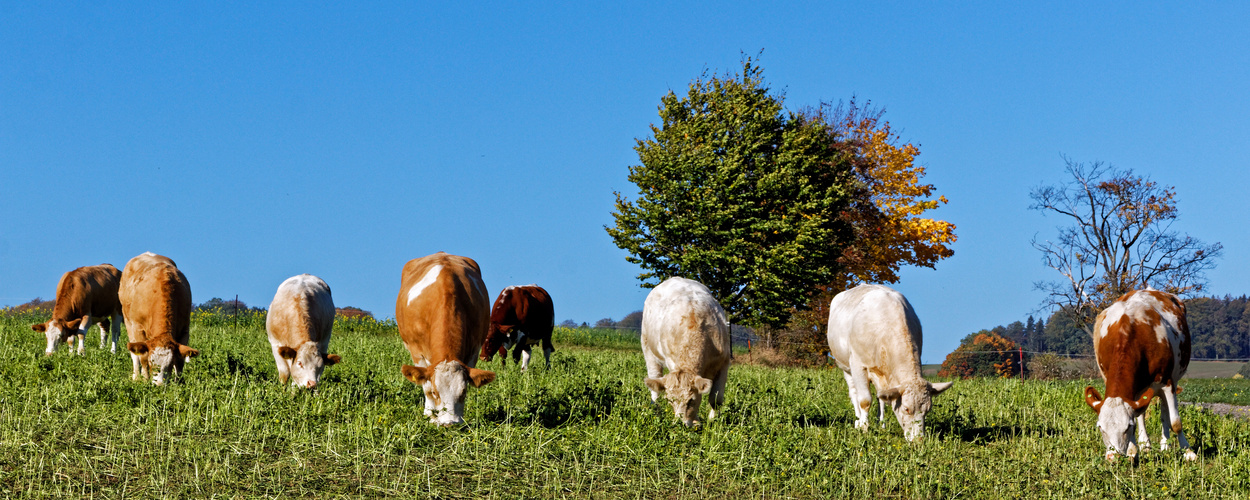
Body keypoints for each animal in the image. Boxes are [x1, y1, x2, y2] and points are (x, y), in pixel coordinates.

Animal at [118, 253, 198, 387]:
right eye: (152, 362)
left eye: (170, 364)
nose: (160, 385)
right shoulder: (138, 328)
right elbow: (143, 357)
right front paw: (145, 380)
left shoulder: (184, 330)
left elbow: (180, 361)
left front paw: (178, 384)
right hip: (128, 322)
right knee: (135, 355)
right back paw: (136, 377)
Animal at [400, 252, 497, 425]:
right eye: (435, 392)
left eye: (463, 392)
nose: (449, 423)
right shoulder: (416, 351)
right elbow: (425, 385)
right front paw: (430, 416)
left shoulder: (474, 348)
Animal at [640, 275, 730, 427]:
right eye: (670, 400)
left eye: (691, 400)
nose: (680, 423)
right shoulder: (671, 362)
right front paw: (697, 421)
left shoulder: (724, 362)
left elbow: (716, 399)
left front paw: (713, 422)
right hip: (648, 350)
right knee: (655, 387)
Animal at [825, 285, 950, 442]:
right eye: (906, 408)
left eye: (927, 410)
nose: (918, 440)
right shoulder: (858, 365)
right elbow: (864, 400)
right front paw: (864, 427)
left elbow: (882, 398)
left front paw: (880, 424)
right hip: (845, 366)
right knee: (853, 392)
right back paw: (858, 420)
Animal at [1085, 288, 1200, 460]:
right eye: (1100, 428)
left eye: (1128, 427)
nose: (1113, 458)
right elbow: (1139, 415)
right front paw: (1134, 450)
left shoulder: (1167, 382)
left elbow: (1176, 422)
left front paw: (1188, 451)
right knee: (1144, 414)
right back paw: (1146, 445)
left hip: (1172, 380)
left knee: (1165, 413)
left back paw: (1165, 445)